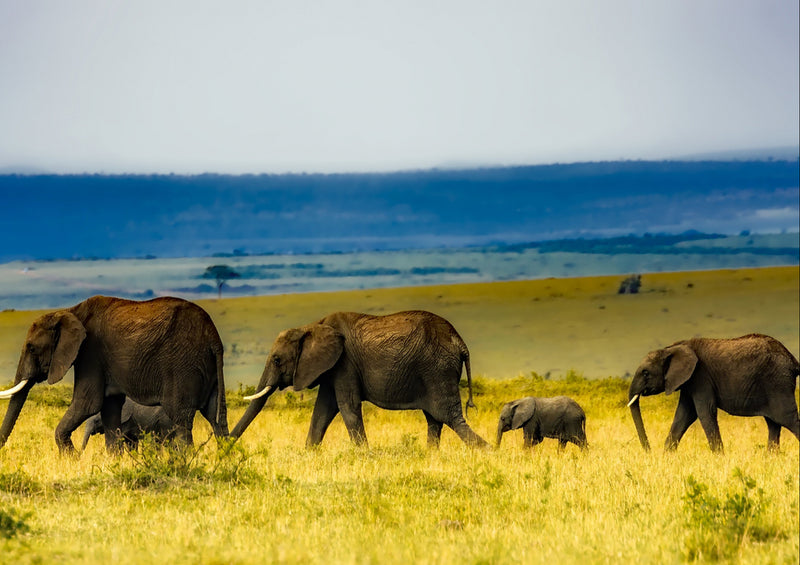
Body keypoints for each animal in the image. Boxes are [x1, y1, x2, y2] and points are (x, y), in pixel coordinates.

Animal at [0, 294, 231, 452]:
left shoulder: (90, 353)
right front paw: (113, 462)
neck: (70, 312)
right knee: (216, 418)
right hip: (207, 367)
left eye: (31, 348)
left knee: (181, 419)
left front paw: (71, 458)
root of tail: (214, 337)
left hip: (183, 365)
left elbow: (88, 403)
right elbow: (110, 408)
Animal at [230, 308, 488, 450]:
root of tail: (460, 343)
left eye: (276, 359)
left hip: (437, 369)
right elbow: (323, 410)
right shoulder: (332, 368)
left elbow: (347, 406)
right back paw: (430, 455)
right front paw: (308, 453)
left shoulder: (345, 364)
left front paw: (365, 454)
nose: (224, 447)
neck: (311, 326)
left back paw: (488, 451)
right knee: (435, 419)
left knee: (449, 417)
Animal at [628, 332, 796, 452]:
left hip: (778, 383)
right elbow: (684, 415)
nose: (649, 451)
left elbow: (704, 412)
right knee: (773, 423)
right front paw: (667, 456)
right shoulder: (689, 382)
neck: (672, 348)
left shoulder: (701, 377)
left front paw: (719, 457)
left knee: (788, 419)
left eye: (645, 373)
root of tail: (793, 359)